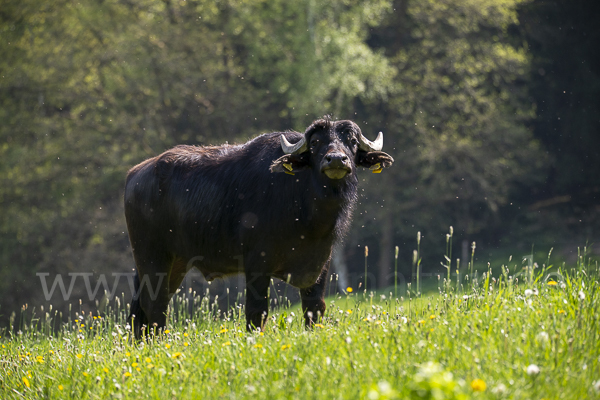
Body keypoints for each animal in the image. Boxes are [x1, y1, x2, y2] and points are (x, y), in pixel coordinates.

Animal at [124, 117, 392, 336]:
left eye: (352, 142)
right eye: (316, 142)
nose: (336, 159)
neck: (307, 214)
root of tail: (135, 174)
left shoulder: (321, 262)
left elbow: (315, 308)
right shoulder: (257, 264)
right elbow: (256, 312)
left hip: (174, 263)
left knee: (145, 307)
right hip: (152, 257)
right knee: (154, 305)